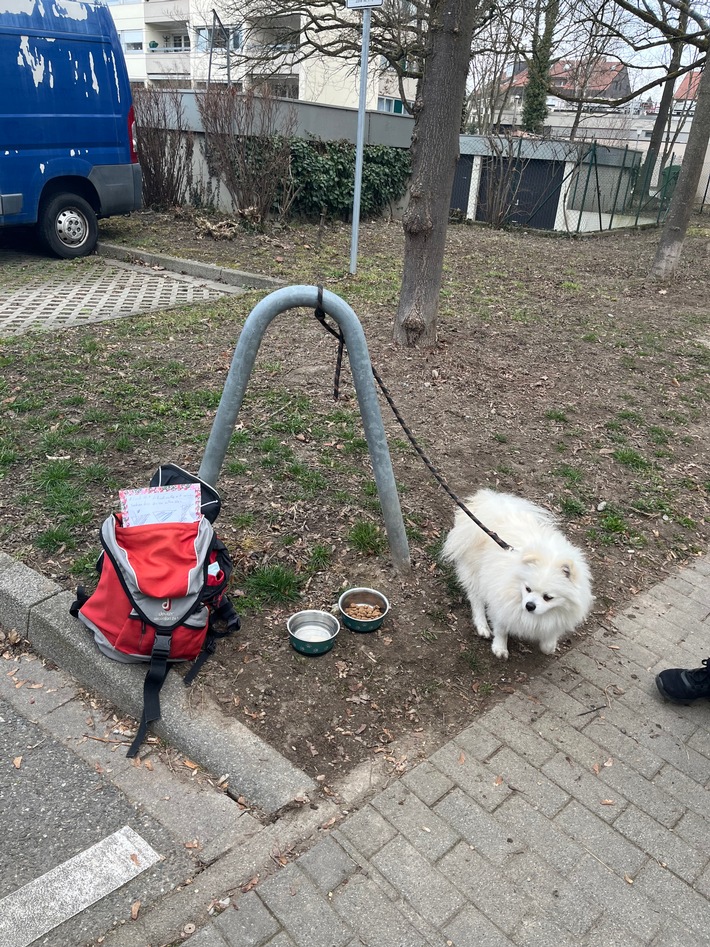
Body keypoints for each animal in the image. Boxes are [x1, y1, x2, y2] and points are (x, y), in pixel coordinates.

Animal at [444, 488, 596, 660]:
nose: (529, 605)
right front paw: (500, 648)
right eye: (527, 589)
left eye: (548, 597)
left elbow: (550, 635)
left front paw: (549, 645)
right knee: (476, 599)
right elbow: (501, 629)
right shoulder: (502, 604)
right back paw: (482, 626)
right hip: (476, 573)